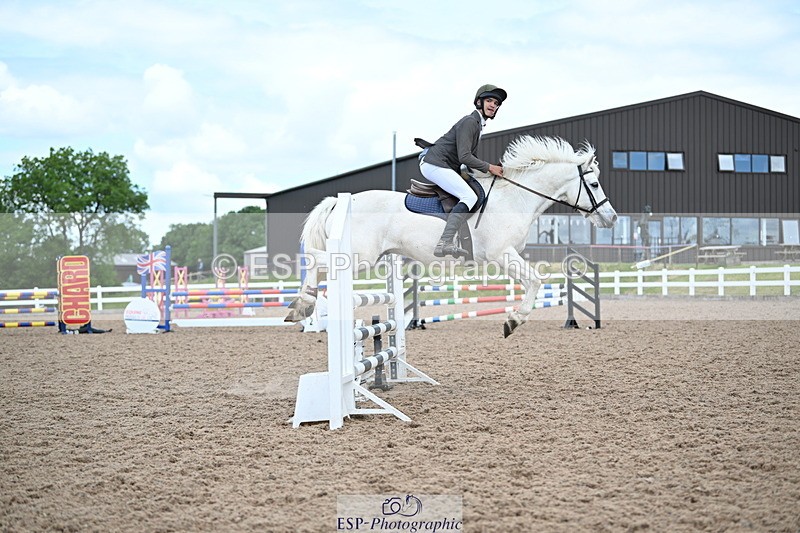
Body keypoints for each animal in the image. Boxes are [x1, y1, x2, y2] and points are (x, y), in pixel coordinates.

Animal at [286, 135, 618, 337]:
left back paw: (301, 306)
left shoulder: (509, 255)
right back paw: (303, 303)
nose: (612, 218)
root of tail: (339, 201)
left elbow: (533, 280)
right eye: (595, 184)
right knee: (316, 258)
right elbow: (536, 280)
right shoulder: (501, 254)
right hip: (359, 257)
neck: (515, 198)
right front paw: (513, 321)